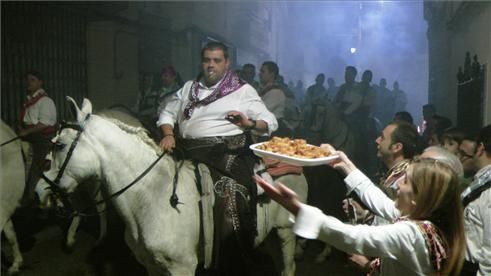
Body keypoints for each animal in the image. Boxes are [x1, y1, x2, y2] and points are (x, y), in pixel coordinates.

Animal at [38, 98, 306, 274]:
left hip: (285, 232)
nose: (39, 191)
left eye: (60, 145)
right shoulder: (151, 265)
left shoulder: (182, 267)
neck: (152, 196)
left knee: (288, 267)